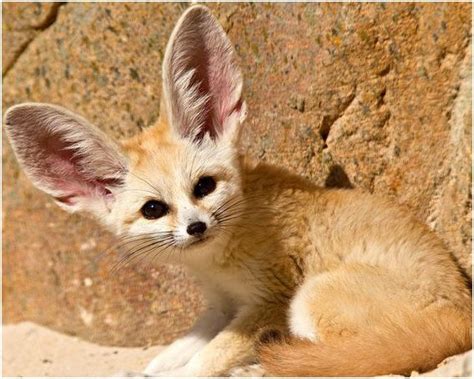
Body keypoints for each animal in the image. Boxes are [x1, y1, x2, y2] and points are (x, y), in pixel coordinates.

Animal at [3, 4, 470, 378]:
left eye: (204, 186)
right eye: (154, 209)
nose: (196, 227)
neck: (218, 261)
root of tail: (463, 315)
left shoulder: (268, 300)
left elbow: (205, 360)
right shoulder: (220, 305)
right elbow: (181, 346)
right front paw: (146, 368)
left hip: (310, 297)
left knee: (347, 357)